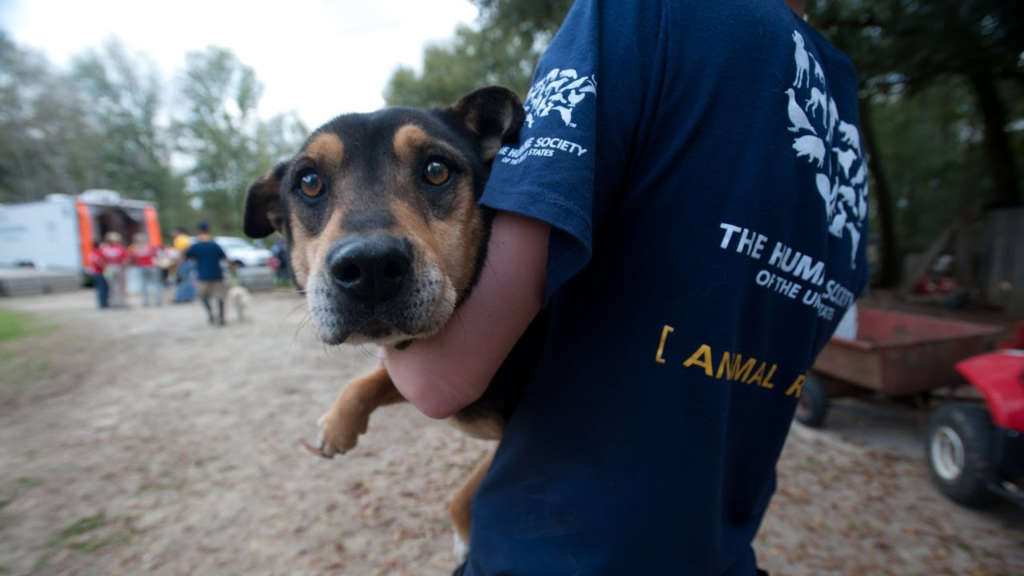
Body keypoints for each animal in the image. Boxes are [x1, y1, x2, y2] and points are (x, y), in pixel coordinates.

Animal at [241, 87, 544, 557]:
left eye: (436, 170)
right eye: (309, 182)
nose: (369, 267)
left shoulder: (510, 440)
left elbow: (462, 495)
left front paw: (464, 543)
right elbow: (369, 379)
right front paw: (338, 426)